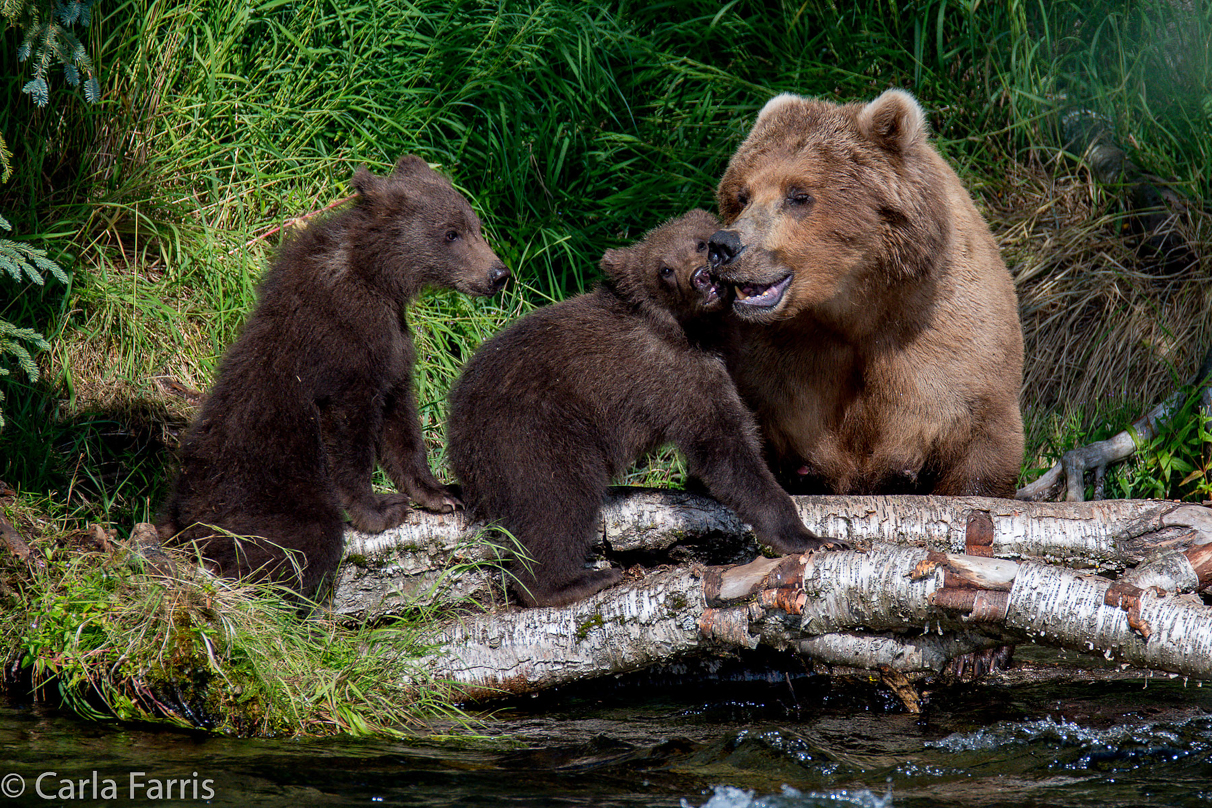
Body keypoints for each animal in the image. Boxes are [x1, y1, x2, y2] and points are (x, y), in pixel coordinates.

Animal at [157, 159, 506, 600]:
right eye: (450, 233)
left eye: (475, 225)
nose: (499, 274)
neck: (376, 277)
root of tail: (181, 516)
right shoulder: (345, 347)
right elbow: (350, 434)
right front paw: (380, 510)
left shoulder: (391, 347)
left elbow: (400, 422)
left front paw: (442, 493)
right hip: (261, 490)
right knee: (302, 541)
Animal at [707, 87, 1022, 494]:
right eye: (742, 195)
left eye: (798, 194)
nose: (724, 245)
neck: (854, 311)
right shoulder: (773, 365)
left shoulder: (951, 352)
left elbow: (980, 447)